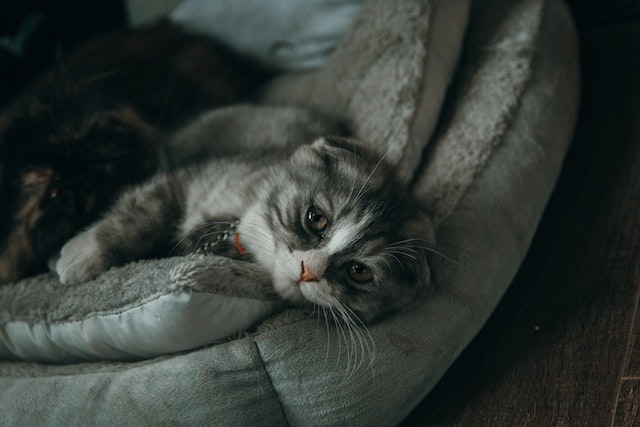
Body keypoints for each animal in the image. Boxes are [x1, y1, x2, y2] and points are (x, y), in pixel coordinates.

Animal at [56, 137, 436, 324]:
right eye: (316, 218)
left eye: (358, 271)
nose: (308, 270)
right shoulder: (190, 181)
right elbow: (141, 215)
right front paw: (81, 256)